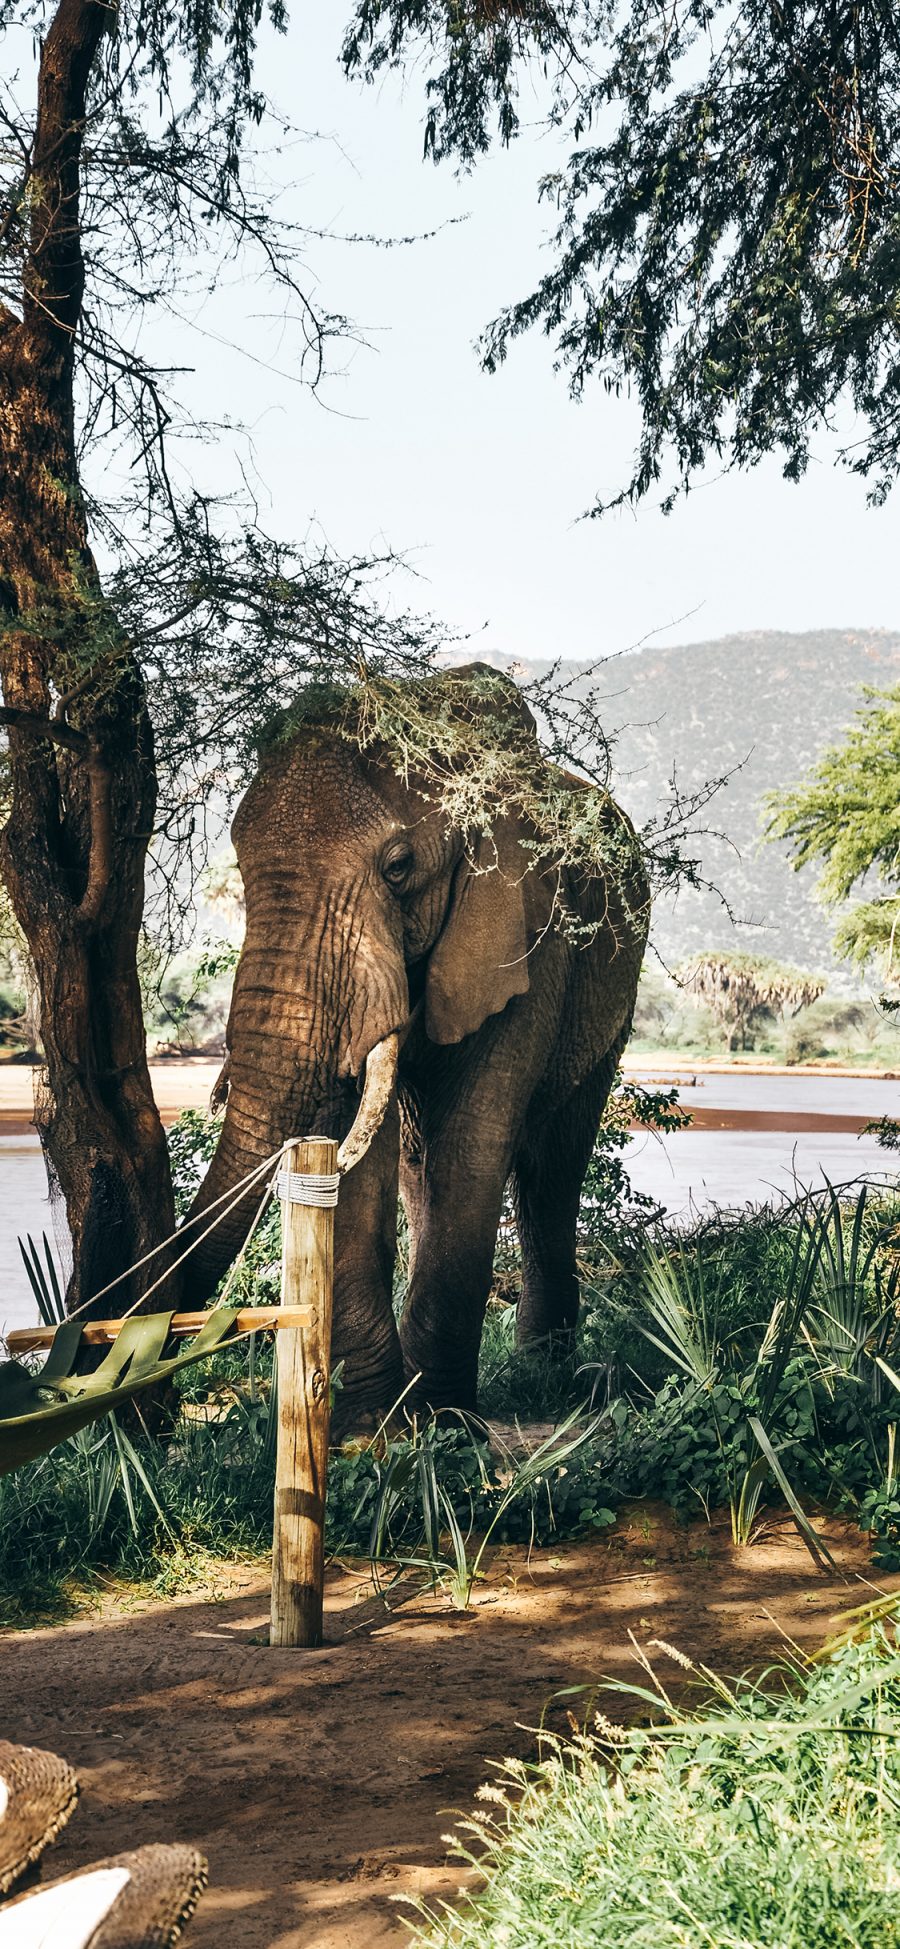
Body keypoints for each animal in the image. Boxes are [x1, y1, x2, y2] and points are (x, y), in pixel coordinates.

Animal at [187, 670, 646, 1434]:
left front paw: (442, 1423)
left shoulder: (528, 934)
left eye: (397, 867)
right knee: (416, 1160)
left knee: (550, 1165)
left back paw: (544, 1375)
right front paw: (370, 1429)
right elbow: (360, 1162)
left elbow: (471, 1143)